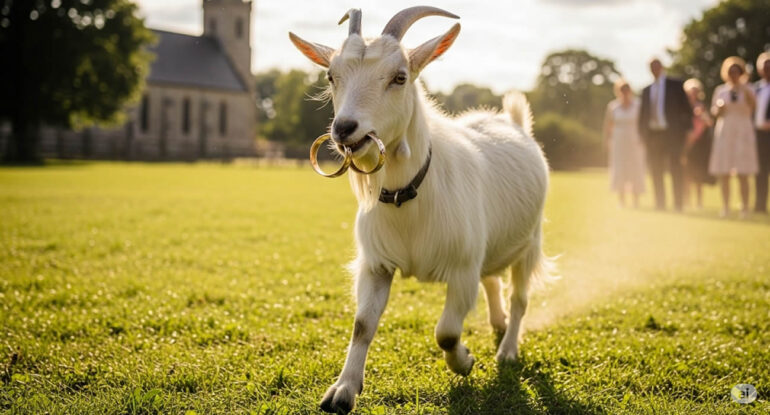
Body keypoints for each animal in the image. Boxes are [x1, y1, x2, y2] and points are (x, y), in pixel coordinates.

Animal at [290, 6, 554, 414]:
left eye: (399, 77)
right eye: (331, 76)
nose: (345, 128)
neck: (407, 197)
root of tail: (513, 122)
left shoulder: (462, 269)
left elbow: (446, 332)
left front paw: (465, 362)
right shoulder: (376, 265)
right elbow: (362, 325)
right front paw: (342, 391)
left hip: (530, 242)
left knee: (519, 296)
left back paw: (507, 350)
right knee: (493, 279)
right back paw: (497, 323)